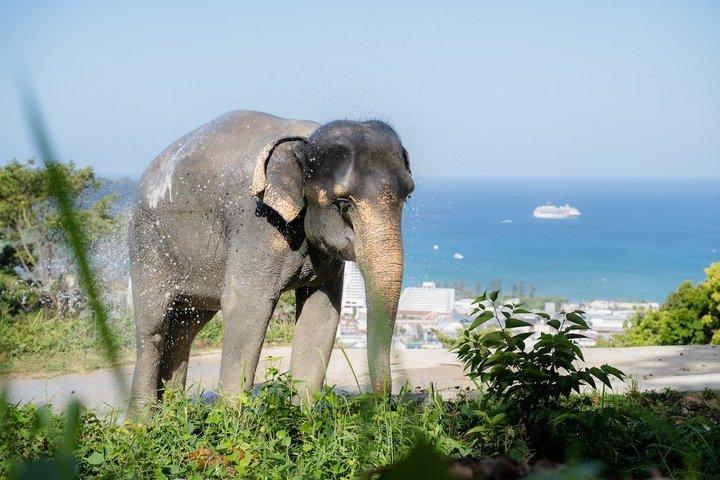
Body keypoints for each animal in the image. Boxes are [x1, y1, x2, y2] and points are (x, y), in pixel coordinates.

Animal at [128, 110, 414, 414]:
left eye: (407, 196)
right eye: (343, 203)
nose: (382, 404)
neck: (306, 142)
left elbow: (321, 313)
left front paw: (303, 418)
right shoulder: (257, 224)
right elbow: (246, 307)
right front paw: (230, 419)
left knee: (186, 327)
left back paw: (171, 413)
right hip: (147, 244)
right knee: (153, 327)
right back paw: (143, 420)